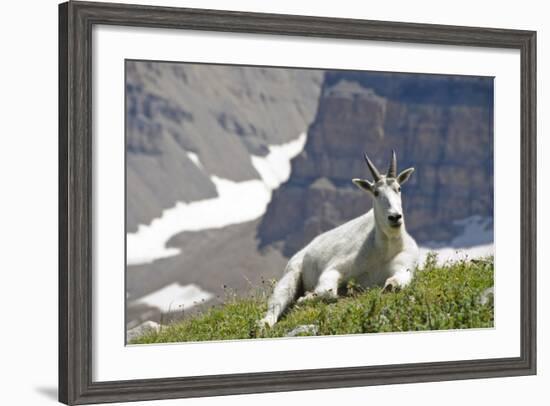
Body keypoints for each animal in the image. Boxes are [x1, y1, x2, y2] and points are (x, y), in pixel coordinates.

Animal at [260, 151, 420, 328]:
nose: (395, 217)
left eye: (398, 188)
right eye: (376, 192)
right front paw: (305, 298)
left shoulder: (404, 266)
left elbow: (396, 283)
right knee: (278, 300)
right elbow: (327, 291)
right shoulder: (336, 267)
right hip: (292, 271)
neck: (385, 248)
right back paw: (264, 323)